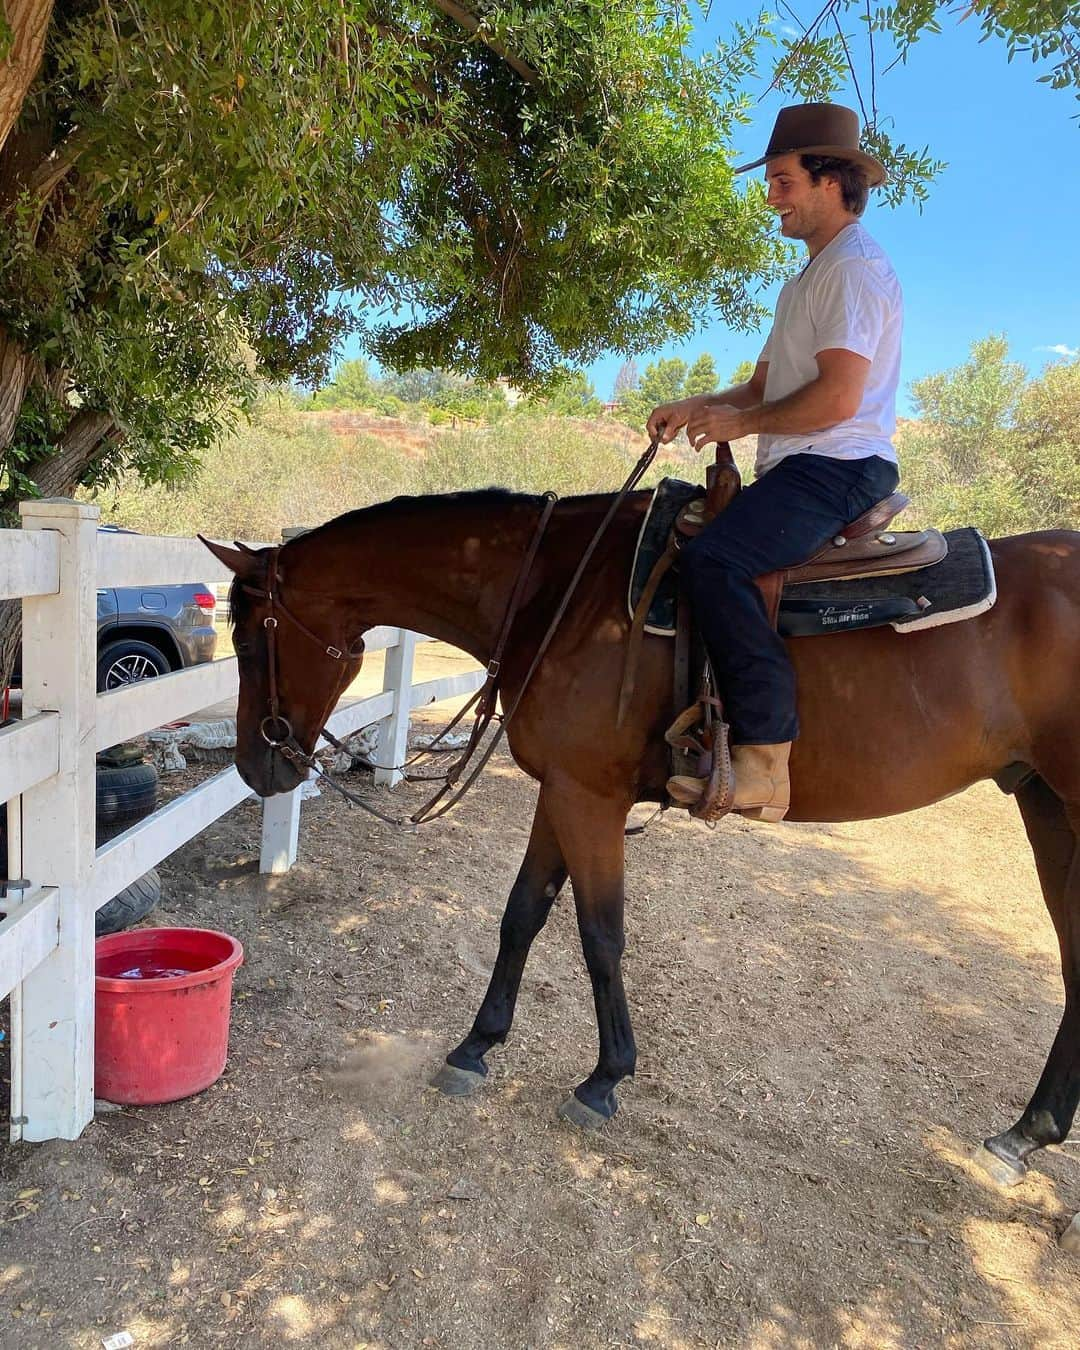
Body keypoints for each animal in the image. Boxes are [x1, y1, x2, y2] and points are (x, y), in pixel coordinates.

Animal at [205, 491, 1080, 1188]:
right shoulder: (563, 791)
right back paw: (1023, 1135)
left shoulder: (589, 797)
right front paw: (476, 1046)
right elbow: (523, 913)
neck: (553, 589)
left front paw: (604, 1079)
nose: (256, 765)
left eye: (247, 641)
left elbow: (600, 934)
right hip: (1047, 807)